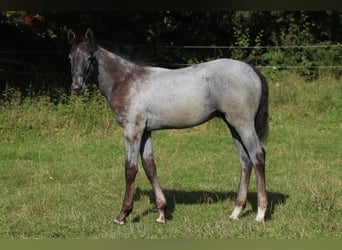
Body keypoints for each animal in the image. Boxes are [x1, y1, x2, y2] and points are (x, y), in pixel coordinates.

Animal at [67, 28, 270, 225]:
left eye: (89, 57)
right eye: (70, 57)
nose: (76, 87)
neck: (125, 80)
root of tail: (252, 71)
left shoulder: (132, 130)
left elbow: (130, 169)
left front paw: (123, 215)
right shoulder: (145, 132)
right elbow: (150, 167)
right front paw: (161, 213)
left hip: (244, 125)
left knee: (257, 156)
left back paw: (260, 214)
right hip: (233, 126)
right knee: (245, 160)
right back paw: (236, 212)